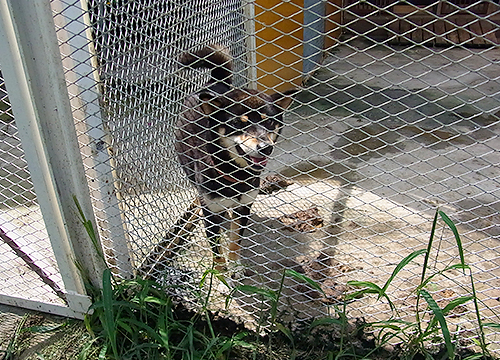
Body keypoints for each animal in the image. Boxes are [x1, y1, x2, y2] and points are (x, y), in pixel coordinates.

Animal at [176, 43, 294, 272]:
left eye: (269, 122)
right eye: (239, 123)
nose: (265, 148)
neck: (235, 175)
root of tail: (217, 83)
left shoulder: (245, 205)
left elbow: (235, 239)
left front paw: (235, 265)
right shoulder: (210, 212)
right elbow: (217, 250)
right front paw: (221, 275)